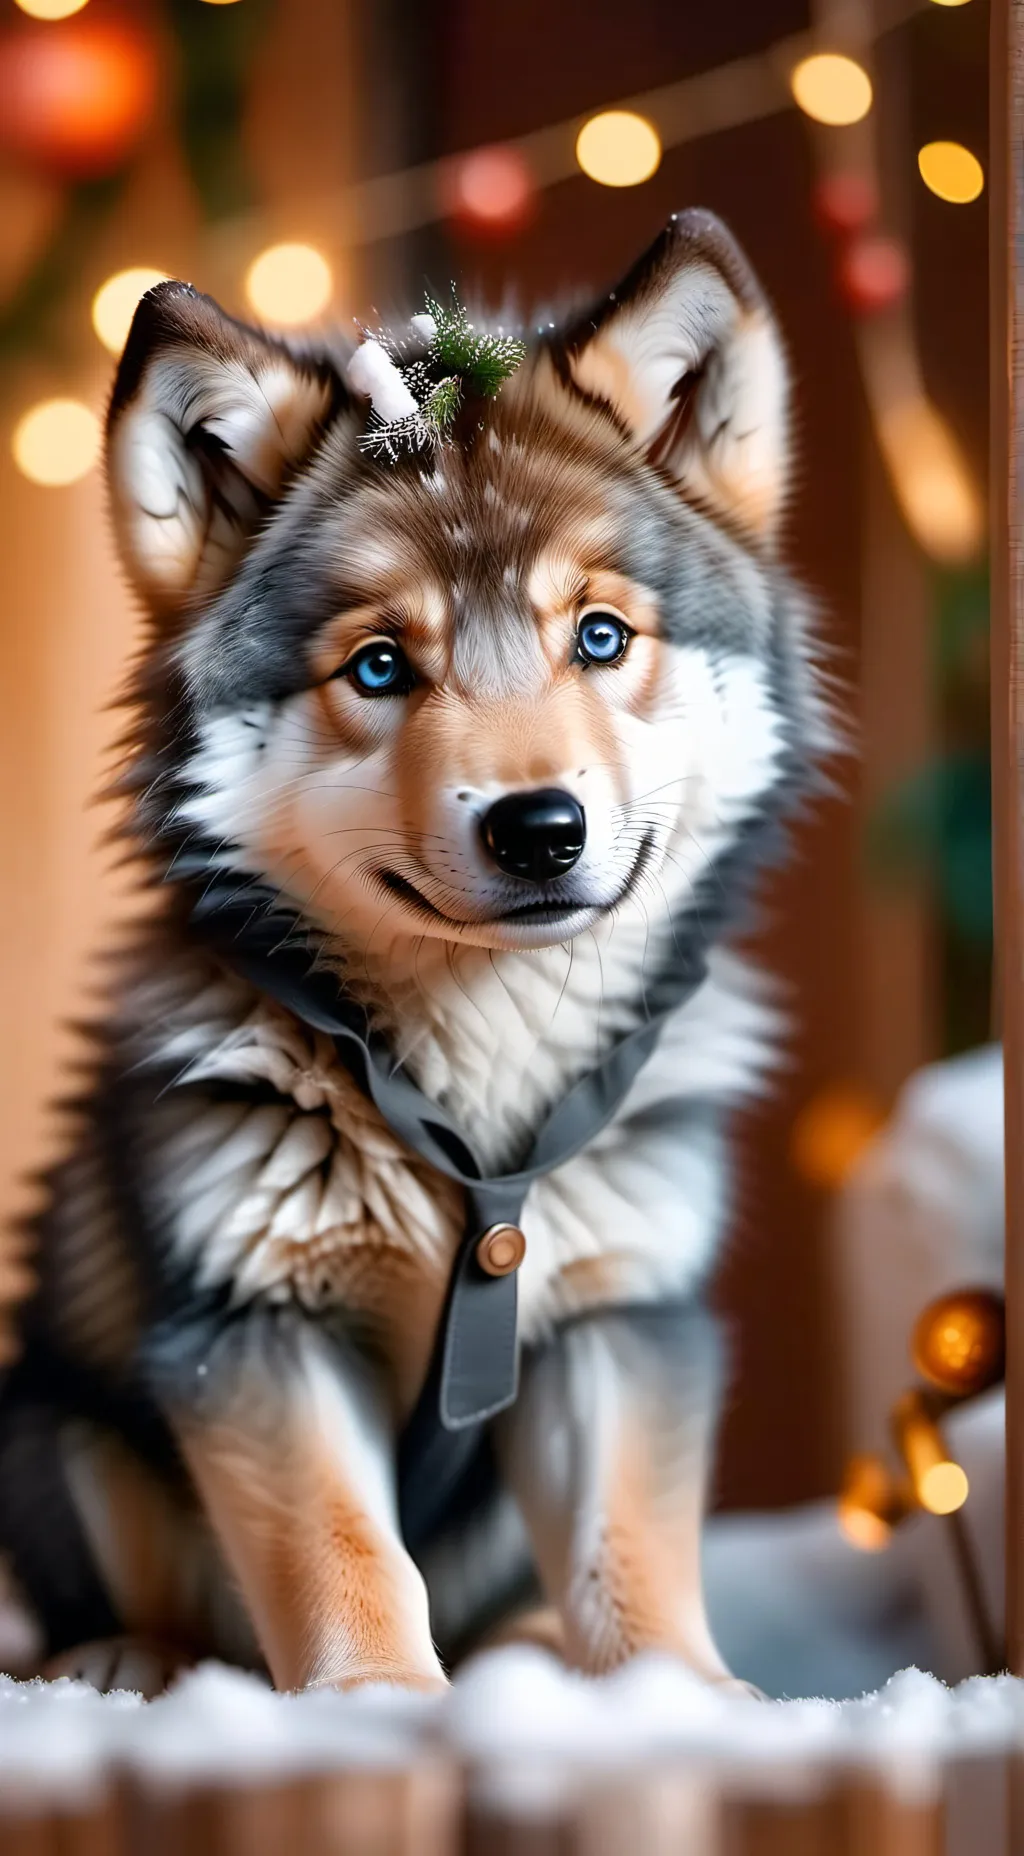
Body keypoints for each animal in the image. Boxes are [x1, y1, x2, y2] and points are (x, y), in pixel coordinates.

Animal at [0, 210, 829, 1698]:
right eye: (380, 667)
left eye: (601, 635)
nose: (539, 829)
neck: (478, 1110)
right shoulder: (253, 1327)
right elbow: (347, 1549)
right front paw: (377, 1708)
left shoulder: (616, 1322)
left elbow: (629, 1548)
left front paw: (682, 1700)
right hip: (57, 1428)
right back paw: (128, 1663)